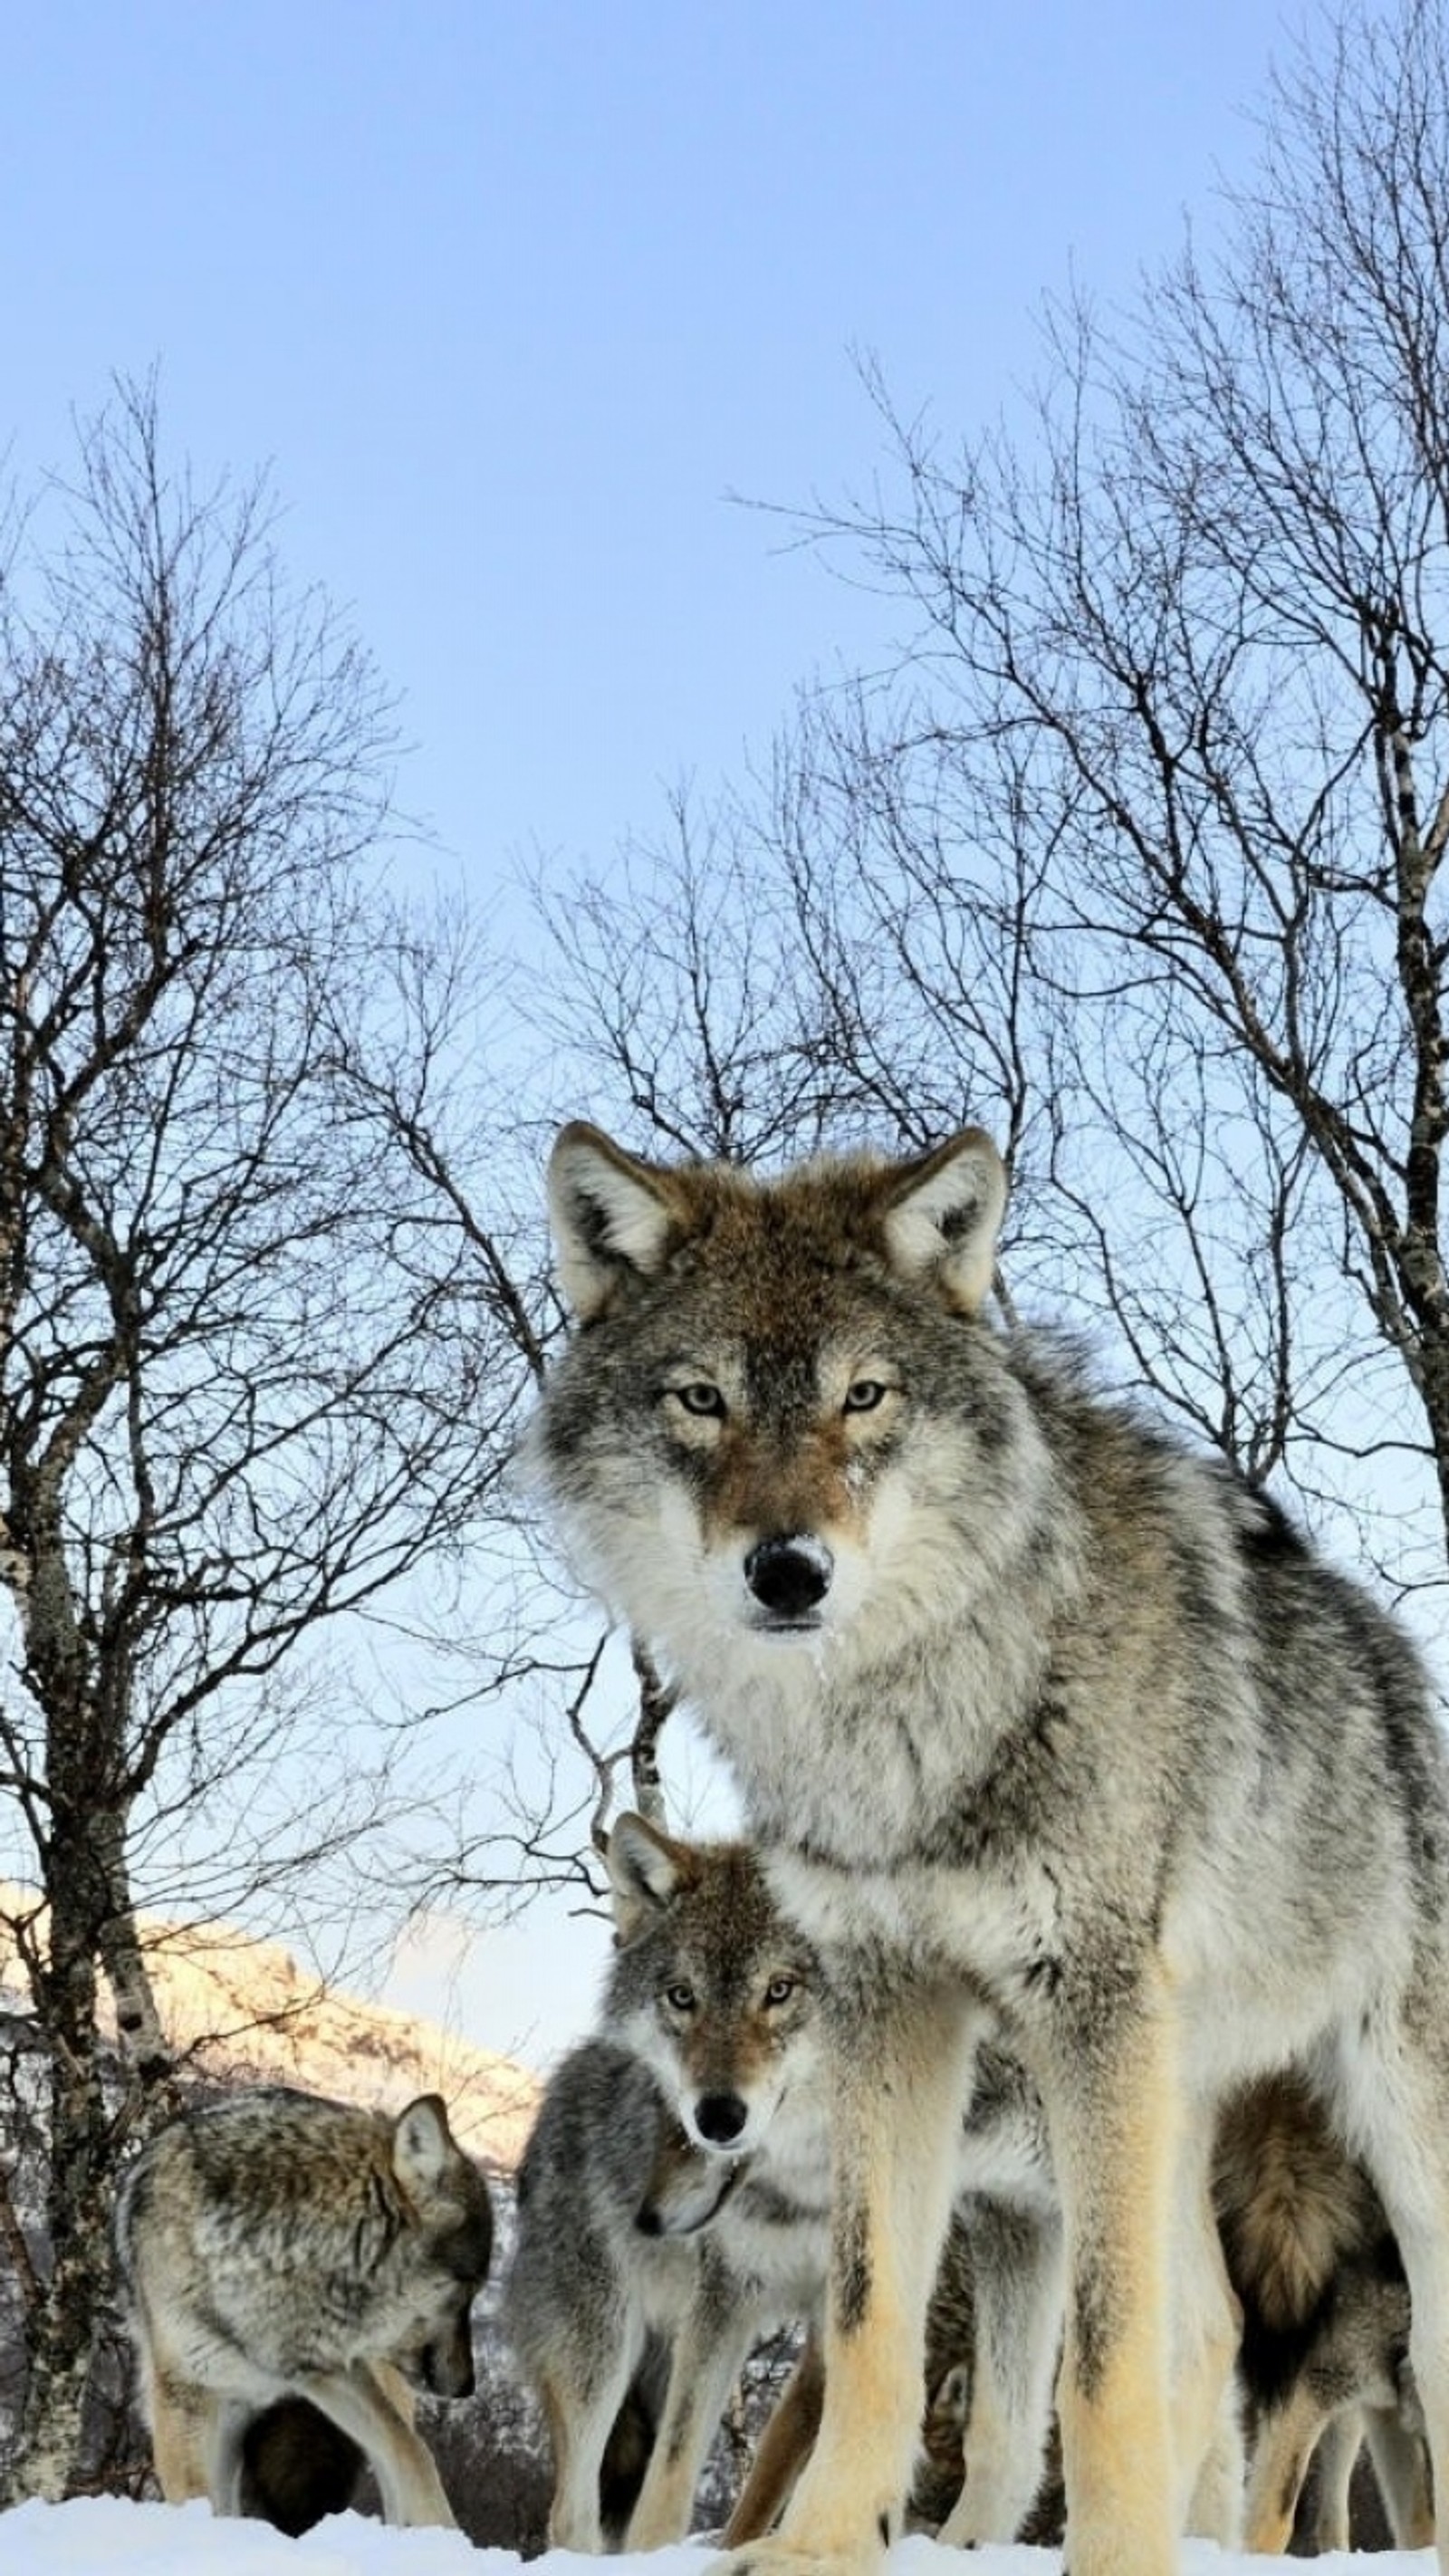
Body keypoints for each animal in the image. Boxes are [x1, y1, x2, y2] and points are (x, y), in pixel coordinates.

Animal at [109, 2081, 494, 2524]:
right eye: (468, 2290)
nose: (468, 2386)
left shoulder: (333, 2370)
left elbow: (414, 2455)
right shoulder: (188, 2399)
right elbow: (199, 2501)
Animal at [504, 1813, 833, 2555]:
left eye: (779, 1990)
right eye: (683, 1997)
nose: (717, 2119)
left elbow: (768, 2483)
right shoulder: (723, 2302)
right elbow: (671, 2485)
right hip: (600, 2348)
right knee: (570, 2511)